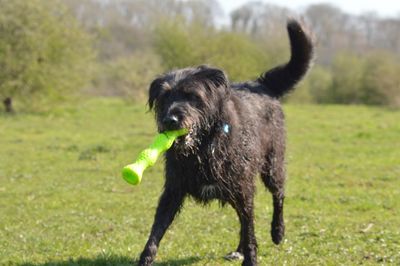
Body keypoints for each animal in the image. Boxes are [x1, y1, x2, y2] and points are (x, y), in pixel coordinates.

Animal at [139, 19, 314, 264]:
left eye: (191, 95)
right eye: (164, 97)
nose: (170, 120)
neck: (204, 148)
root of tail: (260, 85)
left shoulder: (243, 189)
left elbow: (250, 229)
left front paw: (251, 259)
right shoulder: (173, 191)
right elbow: (156, 231)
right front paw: (146, 258)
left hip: (272, 166)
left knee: (277, 197)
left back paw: (277, 231)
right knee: (243, 219)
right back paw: (239, 249)